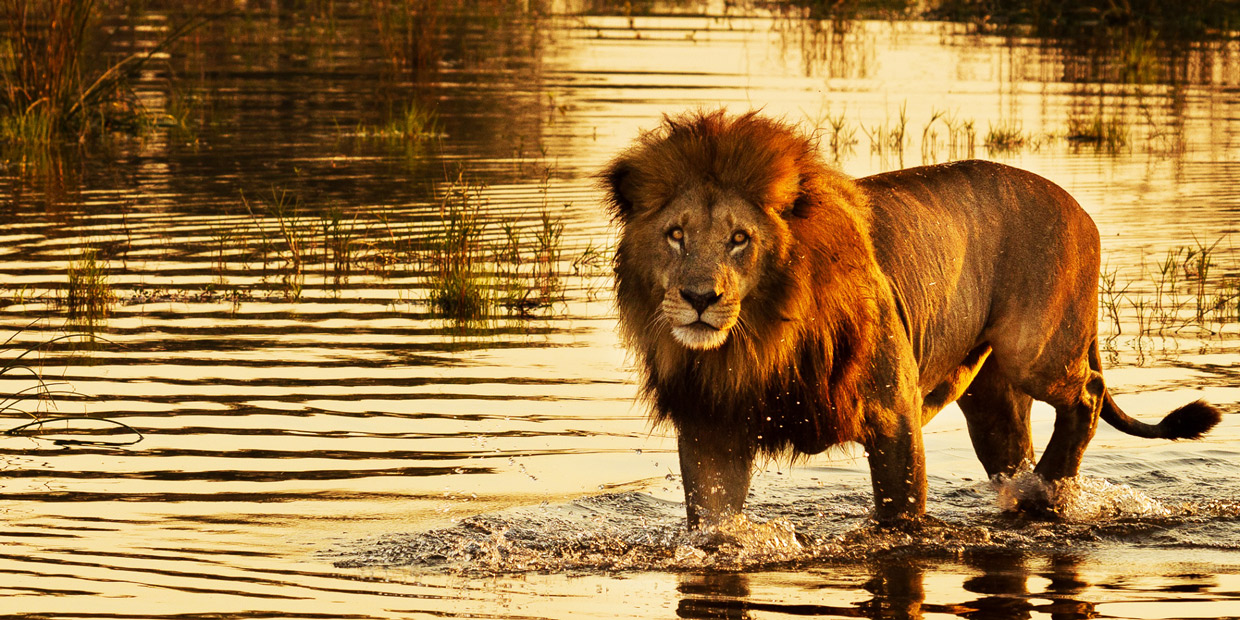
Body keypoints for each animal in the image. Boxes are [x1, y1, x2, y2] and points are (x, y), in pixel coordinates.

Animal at [601, 110, 1222, 529]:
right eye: (675, 235)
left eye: (739, 239)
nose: (698, 297)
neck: (759, 339)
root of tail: (1079, 208)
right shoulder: (712, 429)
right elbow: (715, 525)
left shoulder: (892, 413)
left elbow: (899, 516)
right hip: (993, 400)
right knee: (1015, 451)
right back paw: (1031, 492)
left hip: (1035, 351)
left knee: (1088, 392)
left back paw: (1050, 486)